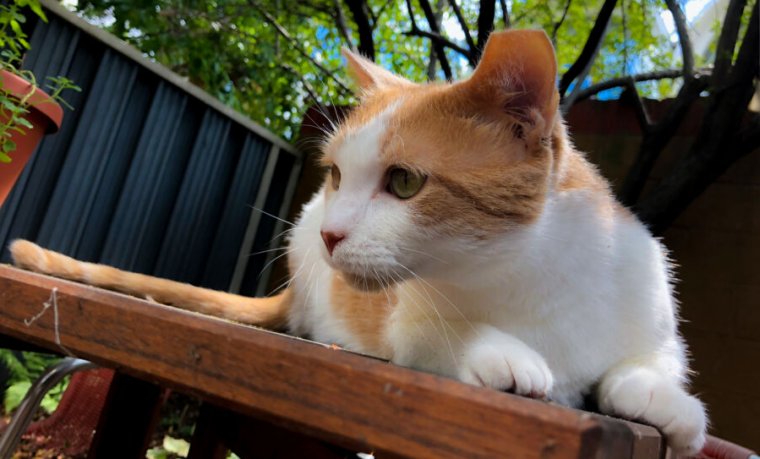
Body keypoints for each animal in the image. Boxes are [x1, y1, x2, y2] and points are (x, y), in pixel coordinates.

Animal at [8, 29, 708, 456]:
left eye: (404, 182)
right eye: (338, 175)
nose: (330, 233)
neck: (527, 275)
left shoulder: (655, 318)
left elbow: (645, 365)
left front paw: (665, 404)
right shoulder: (409, 324)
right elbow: (448, 336)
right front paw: (508, 356)